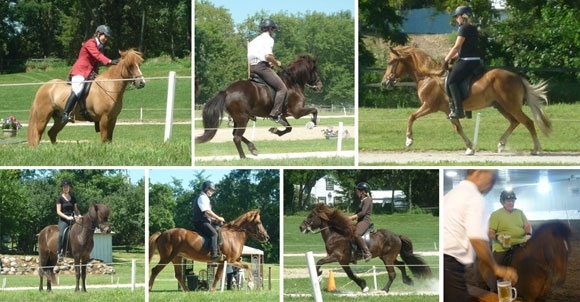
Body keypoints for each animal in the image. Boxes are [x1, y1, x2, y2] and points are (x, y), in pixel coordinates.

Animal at [300, 203, 430, 292]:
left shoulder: (336, 256)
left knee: (392, 274)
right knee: (401, 265)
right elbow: (351, 275)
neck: (336, 235)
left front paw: (319, 276)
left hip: (388, 258)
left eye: (311, 216)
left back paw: (384, 290)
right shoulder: (343, 261)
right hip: (387, 257)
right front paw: (364, 286)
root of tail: (397, 236)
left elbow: (319, 262)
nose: (301, 227)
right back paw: (407, 281)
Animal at [382, 47, 552, 156]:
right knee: (515, 122)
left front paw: (409, 140)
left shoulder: (429, 106)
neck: (429, 77)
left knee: (528, 122)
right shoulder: (448, 111)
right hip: (501, 106)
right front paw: (470, 148)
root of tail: (517, 77)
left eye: (391, 63)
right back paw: (501, 144)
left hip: (511, 106)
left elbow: (411, 116)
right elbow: (458, 128)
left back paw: (536, 149)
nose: (384, 83)